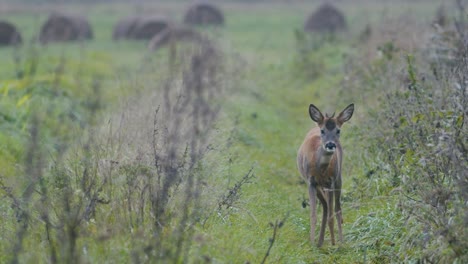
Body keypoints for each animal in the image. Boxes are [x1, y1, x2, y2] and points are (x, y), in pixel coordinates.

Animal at [298, 103, 352, 248]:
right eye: (322, 131)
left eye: (338, 131)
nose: (330, 144)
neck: (320, 169)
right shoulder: (311, 182)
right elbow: (313, 215)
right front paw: (312, 243)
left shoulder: (331, 181)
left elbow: (332, 215)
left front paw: (334, 243)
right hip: (318, 186)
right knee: (326, 206)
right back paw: (320, 242)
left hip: (338, 179)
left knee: (337, 208)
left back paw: (340, 241)